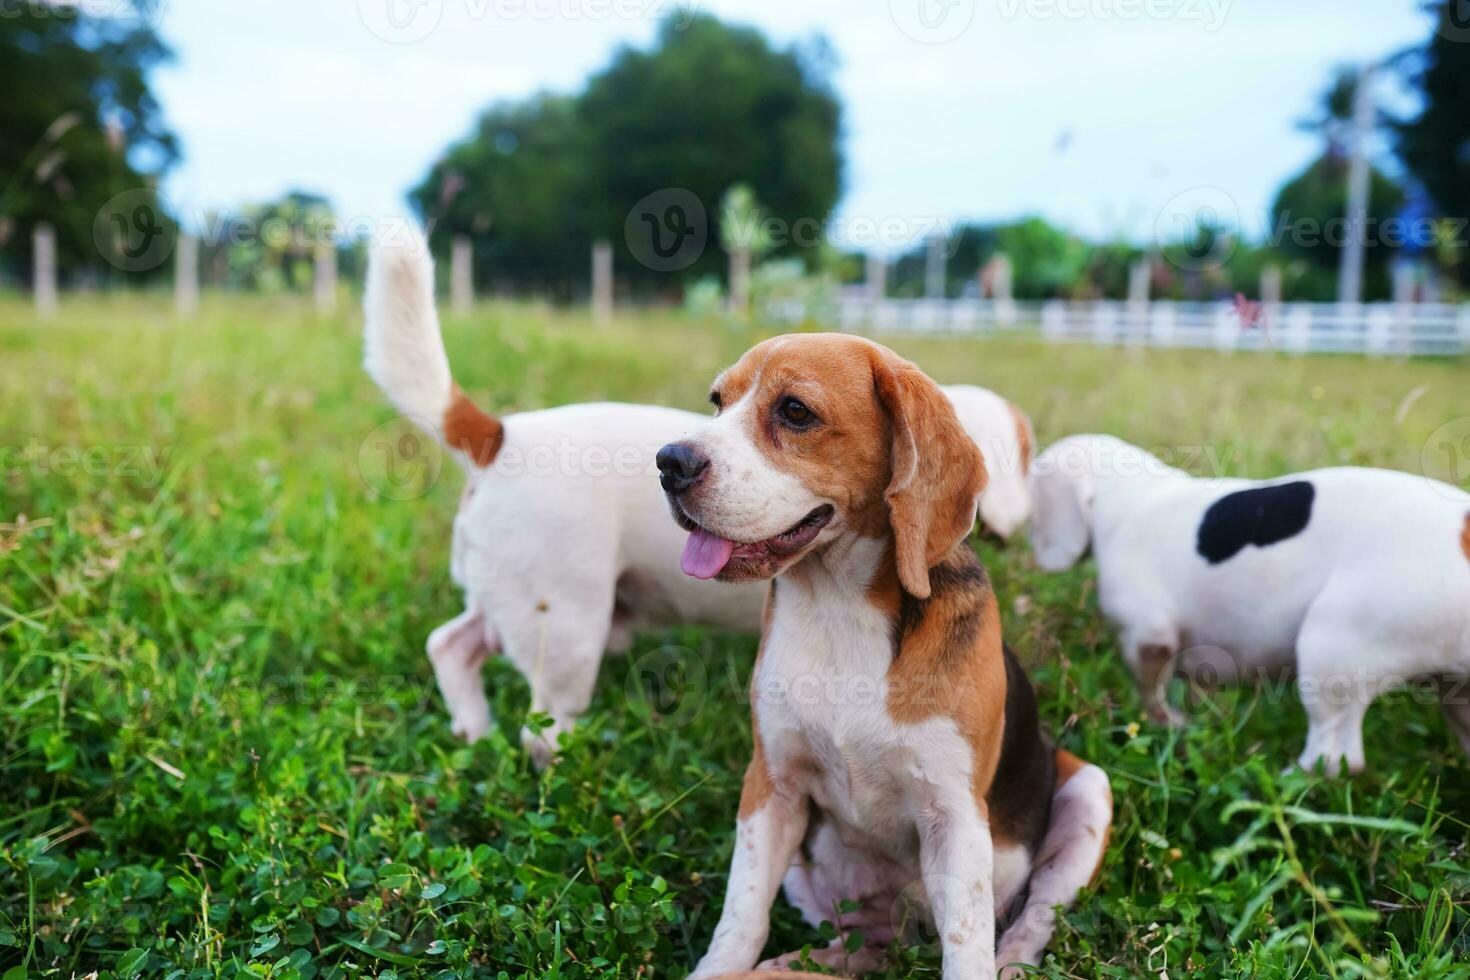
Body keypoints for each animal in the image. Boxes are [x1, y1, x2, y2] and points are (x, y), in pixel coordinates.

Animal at [363, 235, 1040, 764]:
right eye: (719, 401)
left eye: (796, 411)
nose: (671, 464)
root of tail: (501, 434)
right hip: (568, 635)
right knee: (539, 730)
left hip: (510, 604)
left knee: (450, 646)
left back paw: (472, 733)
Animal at [661, 333, 1105, 975]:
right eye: (717, 402)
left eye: (795, 411)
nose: (668, 462)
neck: (838, 606)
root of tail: (902, 935)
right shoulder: (771, 784)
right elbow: (742, 915)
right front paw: (720, 970)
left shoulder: (956, 817)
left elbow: (968, 941)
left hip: (1090, 789)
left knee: (1035, 918)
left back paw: (1013, 961)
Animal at [1029, 434, 1470, 775]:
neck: (1127, 496)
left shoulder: (1148, 636)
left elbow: (1151, 688)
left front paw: (1166, 726)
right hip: (1454, 692)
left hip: (1333, 652)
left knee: (1334, 756)